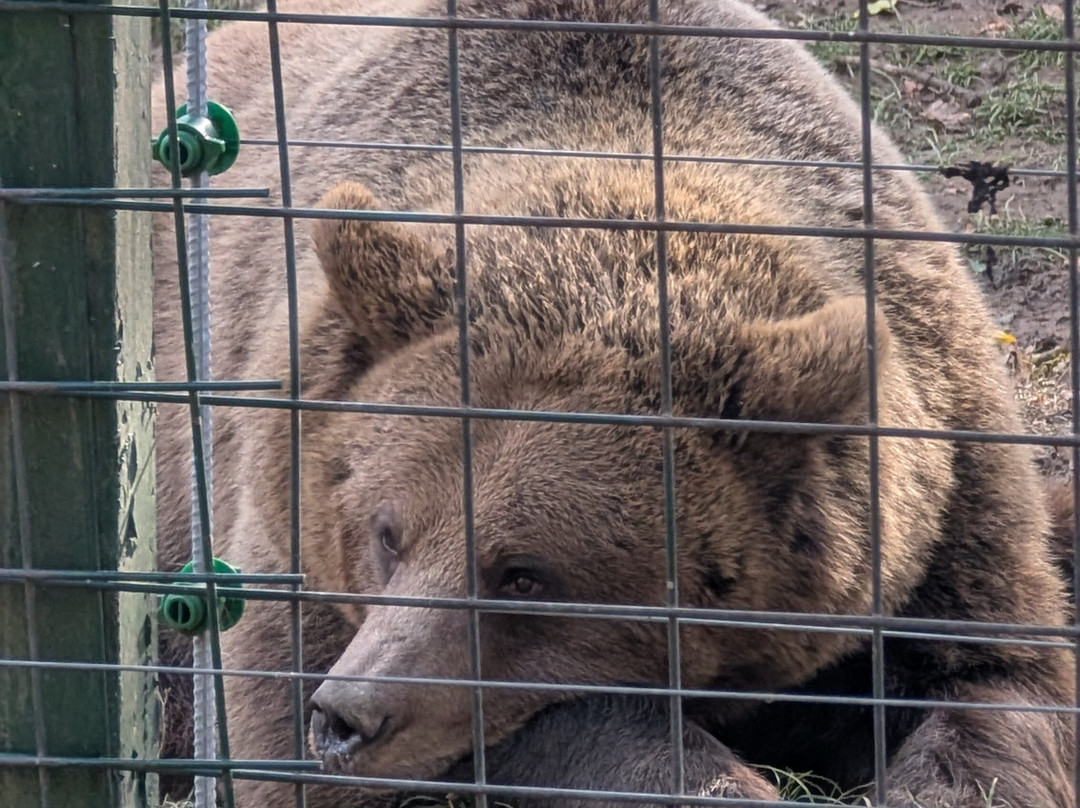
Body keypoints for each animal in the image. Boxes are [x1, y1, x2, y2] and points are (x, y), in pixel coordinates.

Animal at [151, 1, 1076, 807]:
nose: (350, 716)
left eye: (524, 574)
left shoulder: (943, 513)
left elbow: (992, 690)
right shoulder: (290, 536)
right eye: (387, 533)